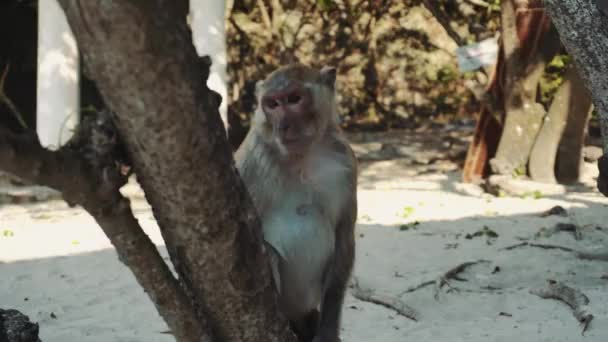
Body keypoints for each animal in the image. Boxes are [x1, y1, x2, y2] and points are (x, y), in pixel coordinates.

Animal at [233, 64, 356, 342]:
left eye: (294, 99)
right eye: (272, 104)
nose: (283, 125)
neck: (301, 156)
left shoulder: (346, 162)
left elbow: (343, 236)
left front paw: (328, 332)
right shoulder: (250, 158)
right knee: (269, 253)